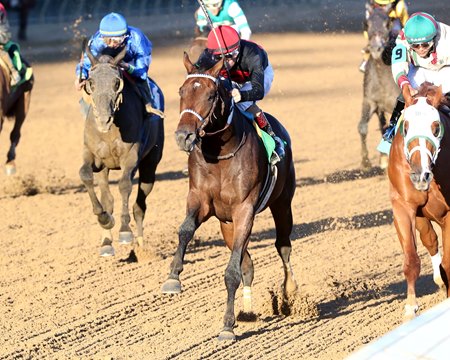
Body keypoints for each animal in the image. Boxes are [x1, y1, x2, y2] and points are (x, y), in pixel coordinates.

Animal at [79, 46, 165, 258]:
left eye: (116, 82)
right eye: (91, 82)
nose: (104, 120)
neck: (111, 130)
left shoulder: (131, 156)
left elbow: (125, 185)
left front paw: (125, 231)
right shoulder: (93, 156)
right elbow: (85, 175)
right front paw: (104, 219)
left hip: (150, 164)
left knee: (140, 205)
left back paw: (141, 246)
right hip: (105, 169)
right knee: (108, 198)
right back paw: (107, 242)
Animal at [162, 52, 298, 340]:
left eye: (211, 95)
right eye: (181, 91)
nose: (183, 136)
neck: (221, 154)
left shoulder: (245, 210)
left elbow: (232, 272)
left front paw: (226, 325)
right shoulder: (200, 199)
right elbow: (185, 230)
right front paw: (172, 278)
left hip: (282, 204)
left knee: (283, 246)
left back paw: (289, 293)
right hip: (227, 225)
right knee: (248, 263)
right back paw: (246, 311)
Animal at [356, 5, 400, 169]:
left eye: (388, 23)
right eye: (366, 24)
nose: (376, 49)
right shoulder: (370, 101)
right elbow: (362, 127)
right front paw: (366, 161)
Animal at [386, 83, 450, 320]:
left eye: (435, 127)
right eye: (405, 126)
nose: (419, 175)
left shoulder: (449, 213)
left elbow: (448, 263)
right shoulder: (403, 208)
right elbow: (411, 261)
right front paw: (410, 308)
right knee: (430, 239)